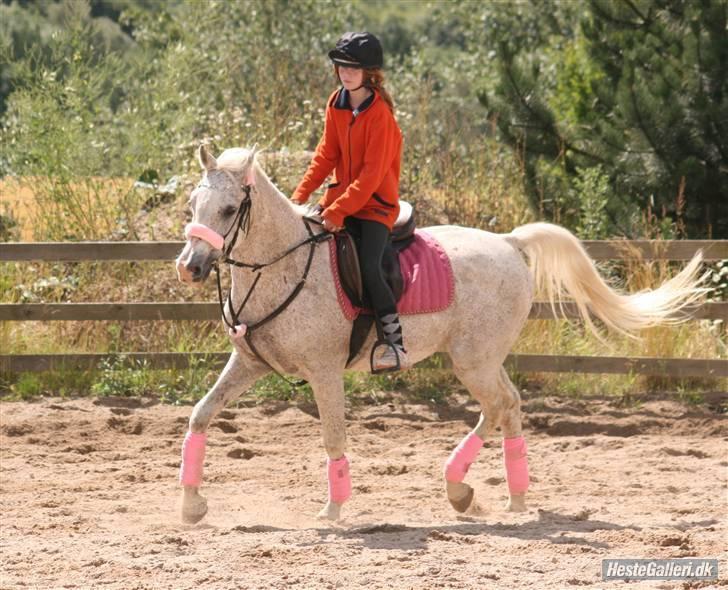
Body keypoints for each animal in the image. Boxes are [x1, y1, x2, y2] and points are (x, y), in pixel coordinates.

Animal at [175, 146, 704, 524]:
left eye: (229, 209)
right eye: (193, 205)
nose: (190, 267)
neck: (282, 266)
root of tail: (509, 242)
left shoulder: (325, 374)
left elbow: (332, 438)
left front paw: (333, 511)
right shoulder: (249, 364)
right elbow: (201, 415)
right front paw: (192, 505)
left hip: (474, 361)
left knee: (500, 404)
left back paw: (466, 488)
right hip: (482, 360)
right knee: (506, 406)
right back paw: (502, 496)